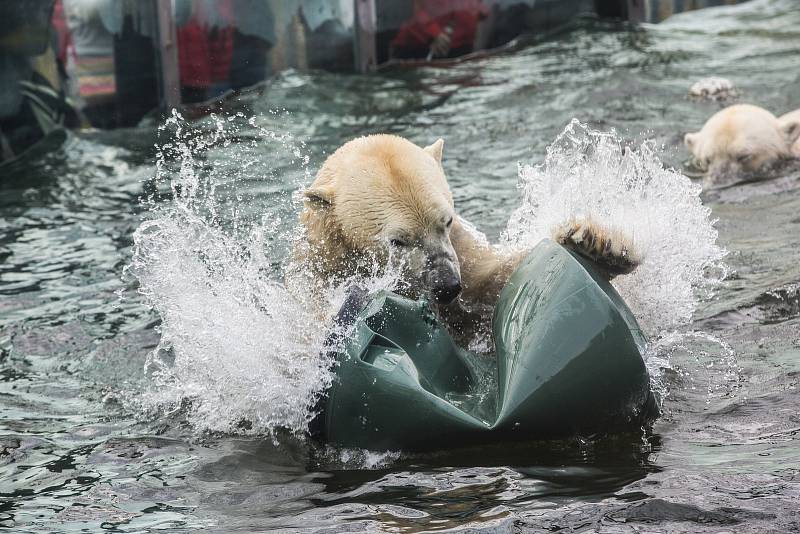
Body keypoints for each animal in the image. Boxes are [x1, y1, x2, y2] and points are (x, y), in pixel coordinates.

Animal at [296, 134, 640, 336]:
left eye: (446, 221)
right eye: (398, 241)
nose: (446, 285)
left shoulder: (461, 250)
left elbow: (492, 286)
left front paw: (598, 244)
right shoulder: (318, 273)